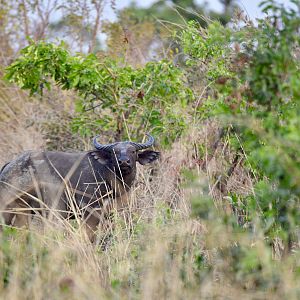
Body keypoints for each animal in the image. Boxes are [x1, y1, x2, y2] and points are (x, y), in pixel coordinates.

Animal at [0, 134, 159, 239]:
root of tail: (9, 165)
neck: (106, 174)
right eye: (115, 152)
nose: (124, 162)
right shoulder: (90, 211)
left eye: (133, 151)